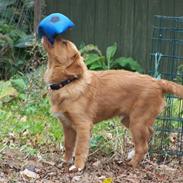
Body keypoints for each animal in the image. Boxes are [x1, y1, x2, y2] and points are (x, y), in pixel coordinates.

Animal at [42, 37, 183, 172]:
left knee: (143, 146)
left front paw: (78, 166)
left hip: (137, 122)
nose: (51, 35)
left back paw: (132, 164)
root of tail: (158, 82)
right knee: (150, 133)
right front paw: (66, 161)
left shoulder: (83, 125)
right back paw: (132, 154)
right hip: (130, 120)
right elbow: (68, 145)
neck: (67, 83)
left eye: (64, 43)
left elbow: (80, 148)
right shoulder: (67, 125)